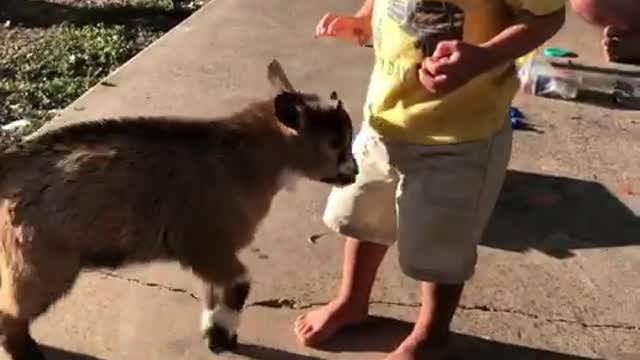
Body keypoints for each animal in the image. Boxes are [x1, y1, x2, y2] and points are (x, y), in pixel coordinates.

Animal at [0, 60, 358, 358]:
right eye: (335, 144)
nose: (354, 172)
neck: (243, 158)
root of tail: (11, 166)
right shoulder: (205, 243)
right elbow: (239, 283)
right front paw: (222, 338)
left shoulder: (211, 254)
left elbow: (213, 292)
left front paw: (216, 334)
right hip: (41, 262)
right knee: (11, 313)